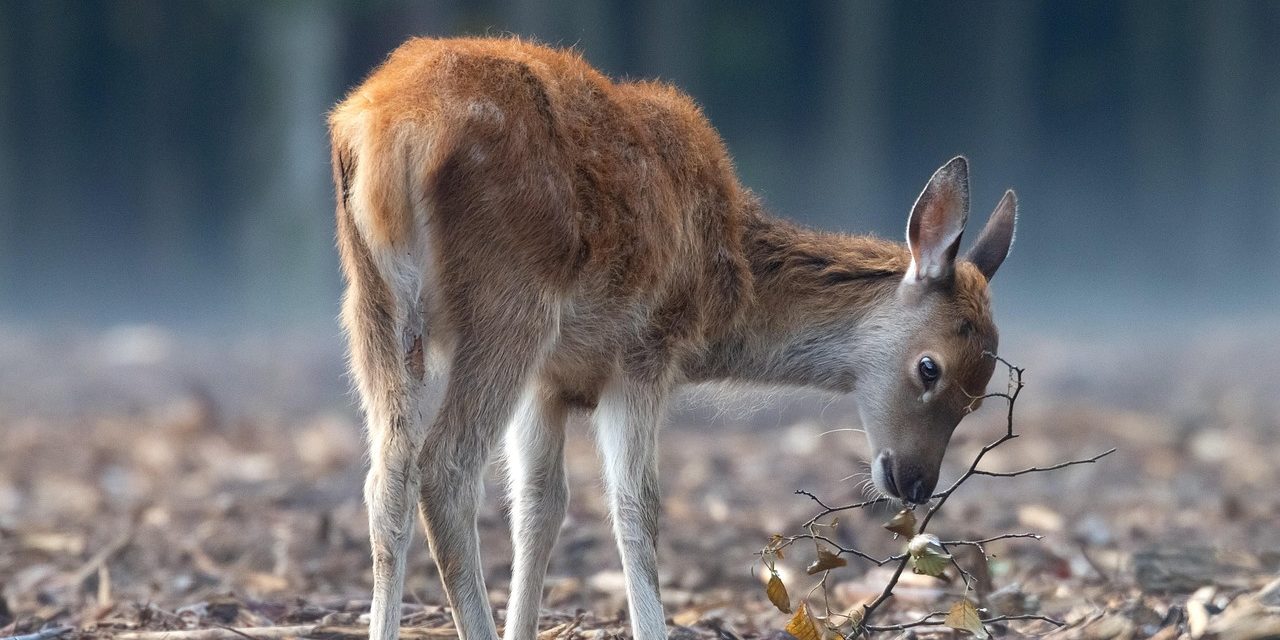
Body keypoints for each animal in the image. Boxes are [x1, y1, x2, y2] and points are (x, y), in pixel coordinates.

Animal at [329, 37, 1018, 640]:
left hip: (373, 308)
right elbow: (636, 508)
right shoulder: (643, 352)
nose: (916, 483)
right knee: (446, 469)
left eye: (981, 393)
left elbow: (539, 507)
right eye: (930, 367)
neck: (725, 292)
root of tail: (387, 130)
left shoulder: (549, 380)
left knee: (386, 479)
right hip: (508, 306)